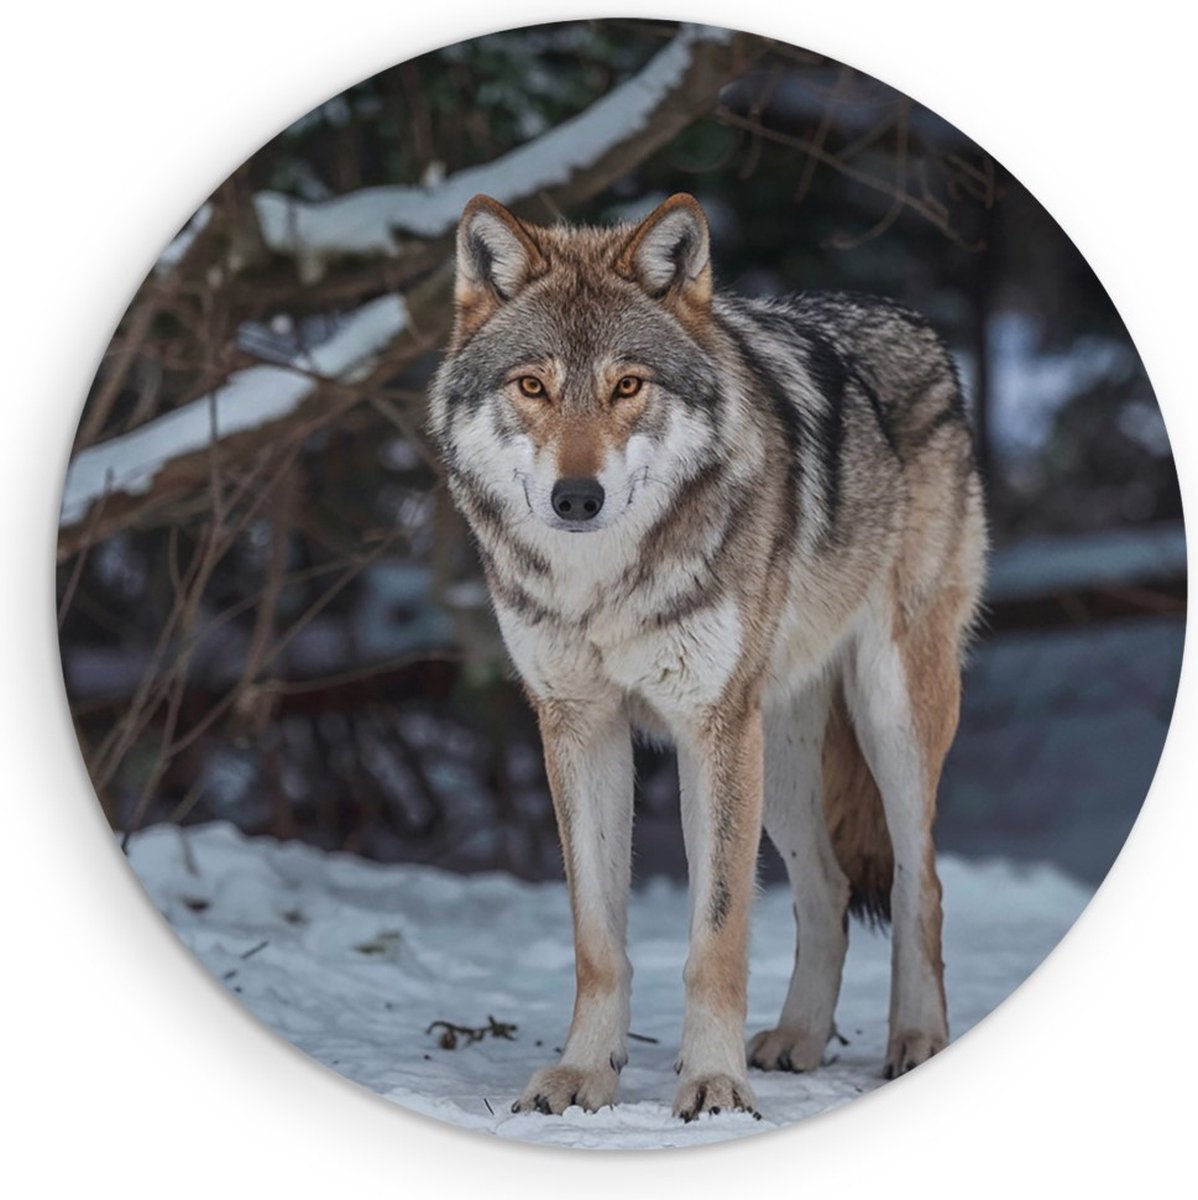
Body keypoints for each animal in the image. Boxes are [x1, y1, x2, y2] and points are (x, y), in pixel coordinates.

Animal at [428, 192, 987, 1121]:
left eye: (627, 385)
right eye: (533, 385)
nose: (576, 498)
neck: (603, 585)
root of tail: (913, 324)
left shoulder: (710, 728)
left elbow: (717, 933)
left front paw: (715, 1084)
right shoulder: (580, 727)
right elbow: (597, 938)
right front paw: (583, 1075)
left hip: (888, 714)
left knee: (923, 883)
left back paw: (916, 1040)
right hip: (782, 753)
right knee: (828, 887)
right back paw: (796, 1040)